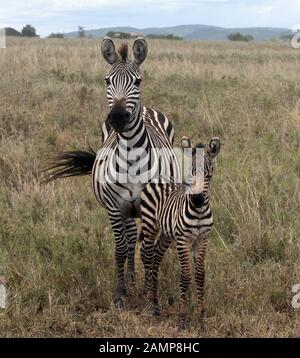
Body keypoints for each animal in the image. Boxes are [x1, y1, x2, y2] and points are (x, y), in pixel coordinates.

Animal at [45, 37, 179, 308]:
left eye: (138, 81)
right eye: (107, 80)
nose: (117, 117)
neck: (132, 159)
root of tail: (148, 108)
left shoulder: (150, 208)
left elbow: (147, 252)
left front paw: (149, 295)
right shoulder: (115, 207)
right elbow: (120, 249)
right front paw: (120, 295)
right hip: (125, 209)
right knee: (130, 239)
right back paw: (131, 277)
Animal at [140, 136, 220, 328]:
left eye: (209, 175)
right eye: (191, 173)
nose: (197, 200)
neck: (198, 213)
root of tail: (159, 177)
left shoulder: (202, 239)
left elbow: (200, 275)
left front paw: (202, 318)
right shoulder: (183, 239)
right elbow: (185, 276)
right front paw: (183, 319)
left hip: (166, 234)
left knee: (156, 257)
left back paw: (156, 304)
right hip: (149, 224)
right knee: (147, 256)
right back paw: (150, 304)